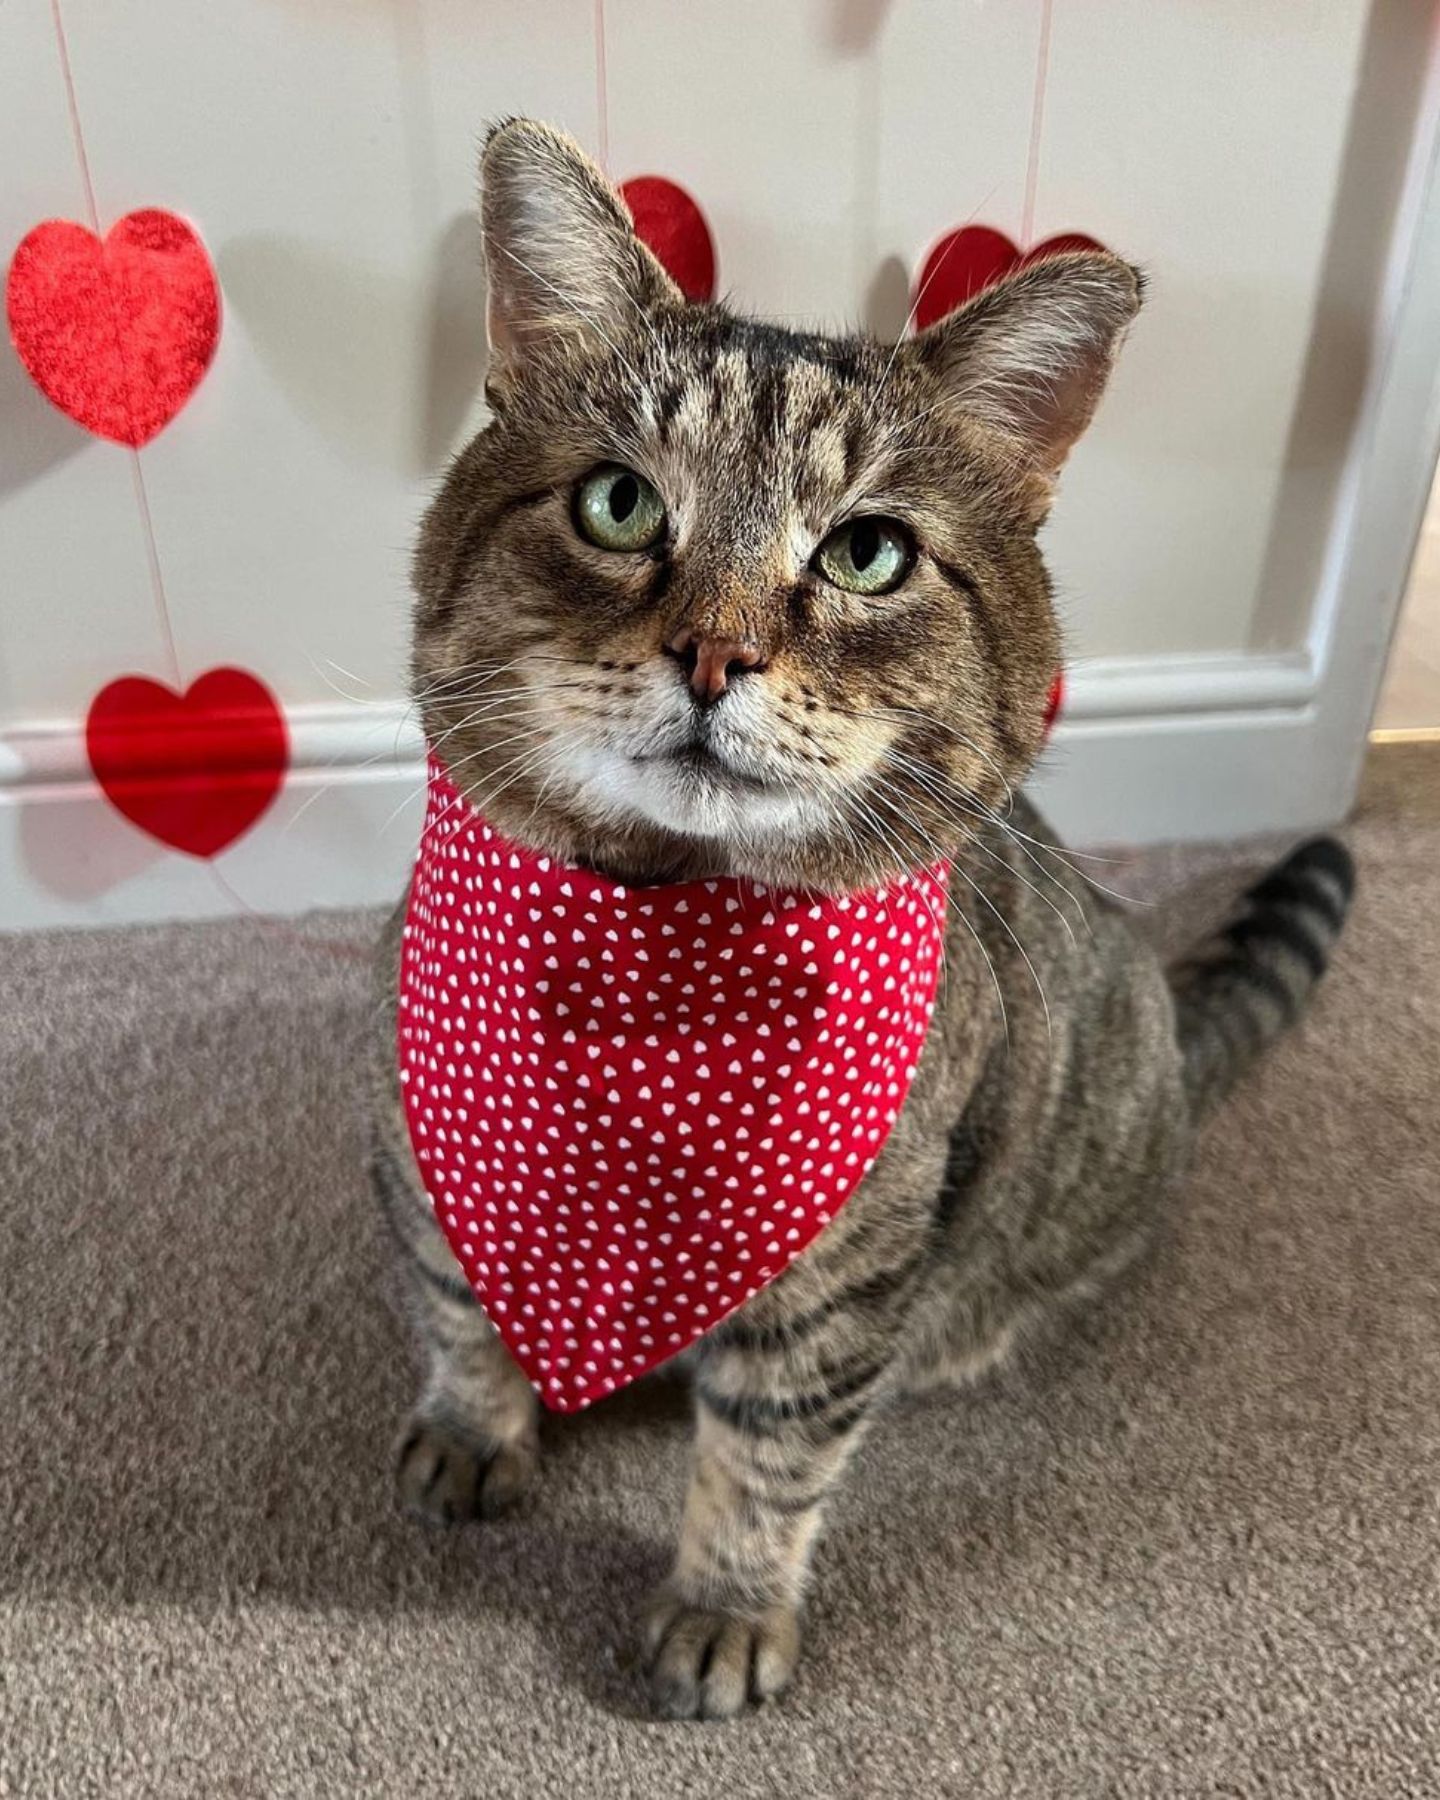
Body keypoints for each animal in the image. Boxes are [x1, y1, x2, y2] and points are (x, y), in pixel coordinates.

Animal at [365, 119, 1353, 1720]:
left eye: (867, 553)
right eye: (619, 503)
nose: (713, 654)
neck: (653, 974)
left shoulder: (842, 1278)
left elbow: (770, 1455)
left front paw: (724, 1606)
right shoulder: (418, 1138)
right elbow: (459, 1305)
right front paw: (471, 1424)